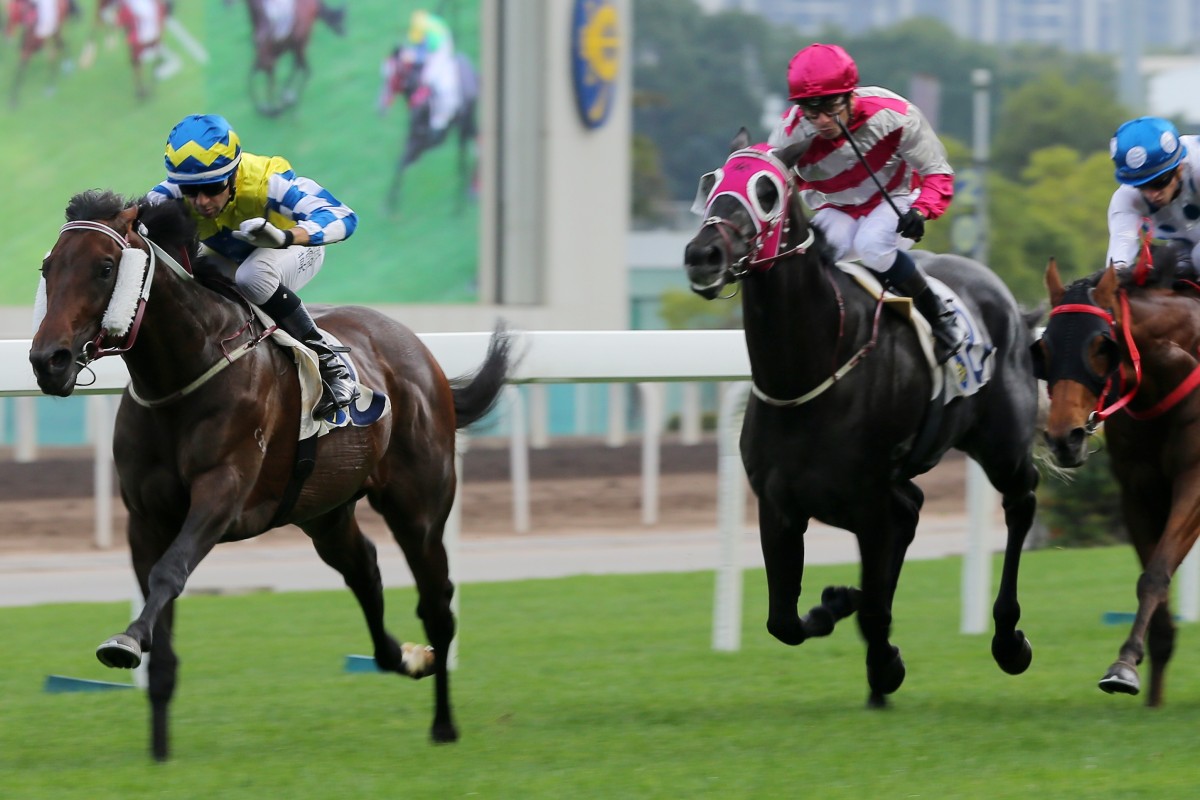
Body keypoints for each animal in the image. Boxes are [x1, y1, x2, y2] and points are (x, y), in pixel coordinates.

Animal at [31, 190, 511, 762]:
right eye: (48, 267)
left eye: (106, 268)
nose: (48, 361)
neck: (185, 371)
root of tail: (419, 352)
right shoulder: (146, 517)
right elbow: (159, 620)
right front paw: (159, 751)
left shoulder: (221, 492)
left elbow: (170, 573)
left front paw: (123, 643)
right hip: (325, 512)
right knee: (364, 569)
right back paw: (406, 657)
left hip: (418, 508)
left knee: (437, 603)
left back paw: (443, 722)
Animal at [686, 134, 1041, 710]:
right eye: (711, 182)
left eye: (767, 191)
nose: (702, 255)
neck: (810, 373)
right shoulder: (780, 505)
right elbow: (784, 620)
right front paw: (839, 607)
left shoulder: (869, 503)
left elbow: (872, 605)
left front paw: (883, 661)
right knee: (914, 511)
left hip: (1002, 446)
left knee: (1020, 502)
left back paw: (1008, 639)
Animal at [1032, 260, 1200, 705]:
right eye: (1043, 349)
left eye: (1101, 346)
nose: (1064, 438)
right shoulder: (1137, 493)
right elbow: (1153, 587)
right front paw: (1141, 683)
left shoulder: (1194, 483)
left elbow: (1156, 573)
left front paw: (1124, 664)